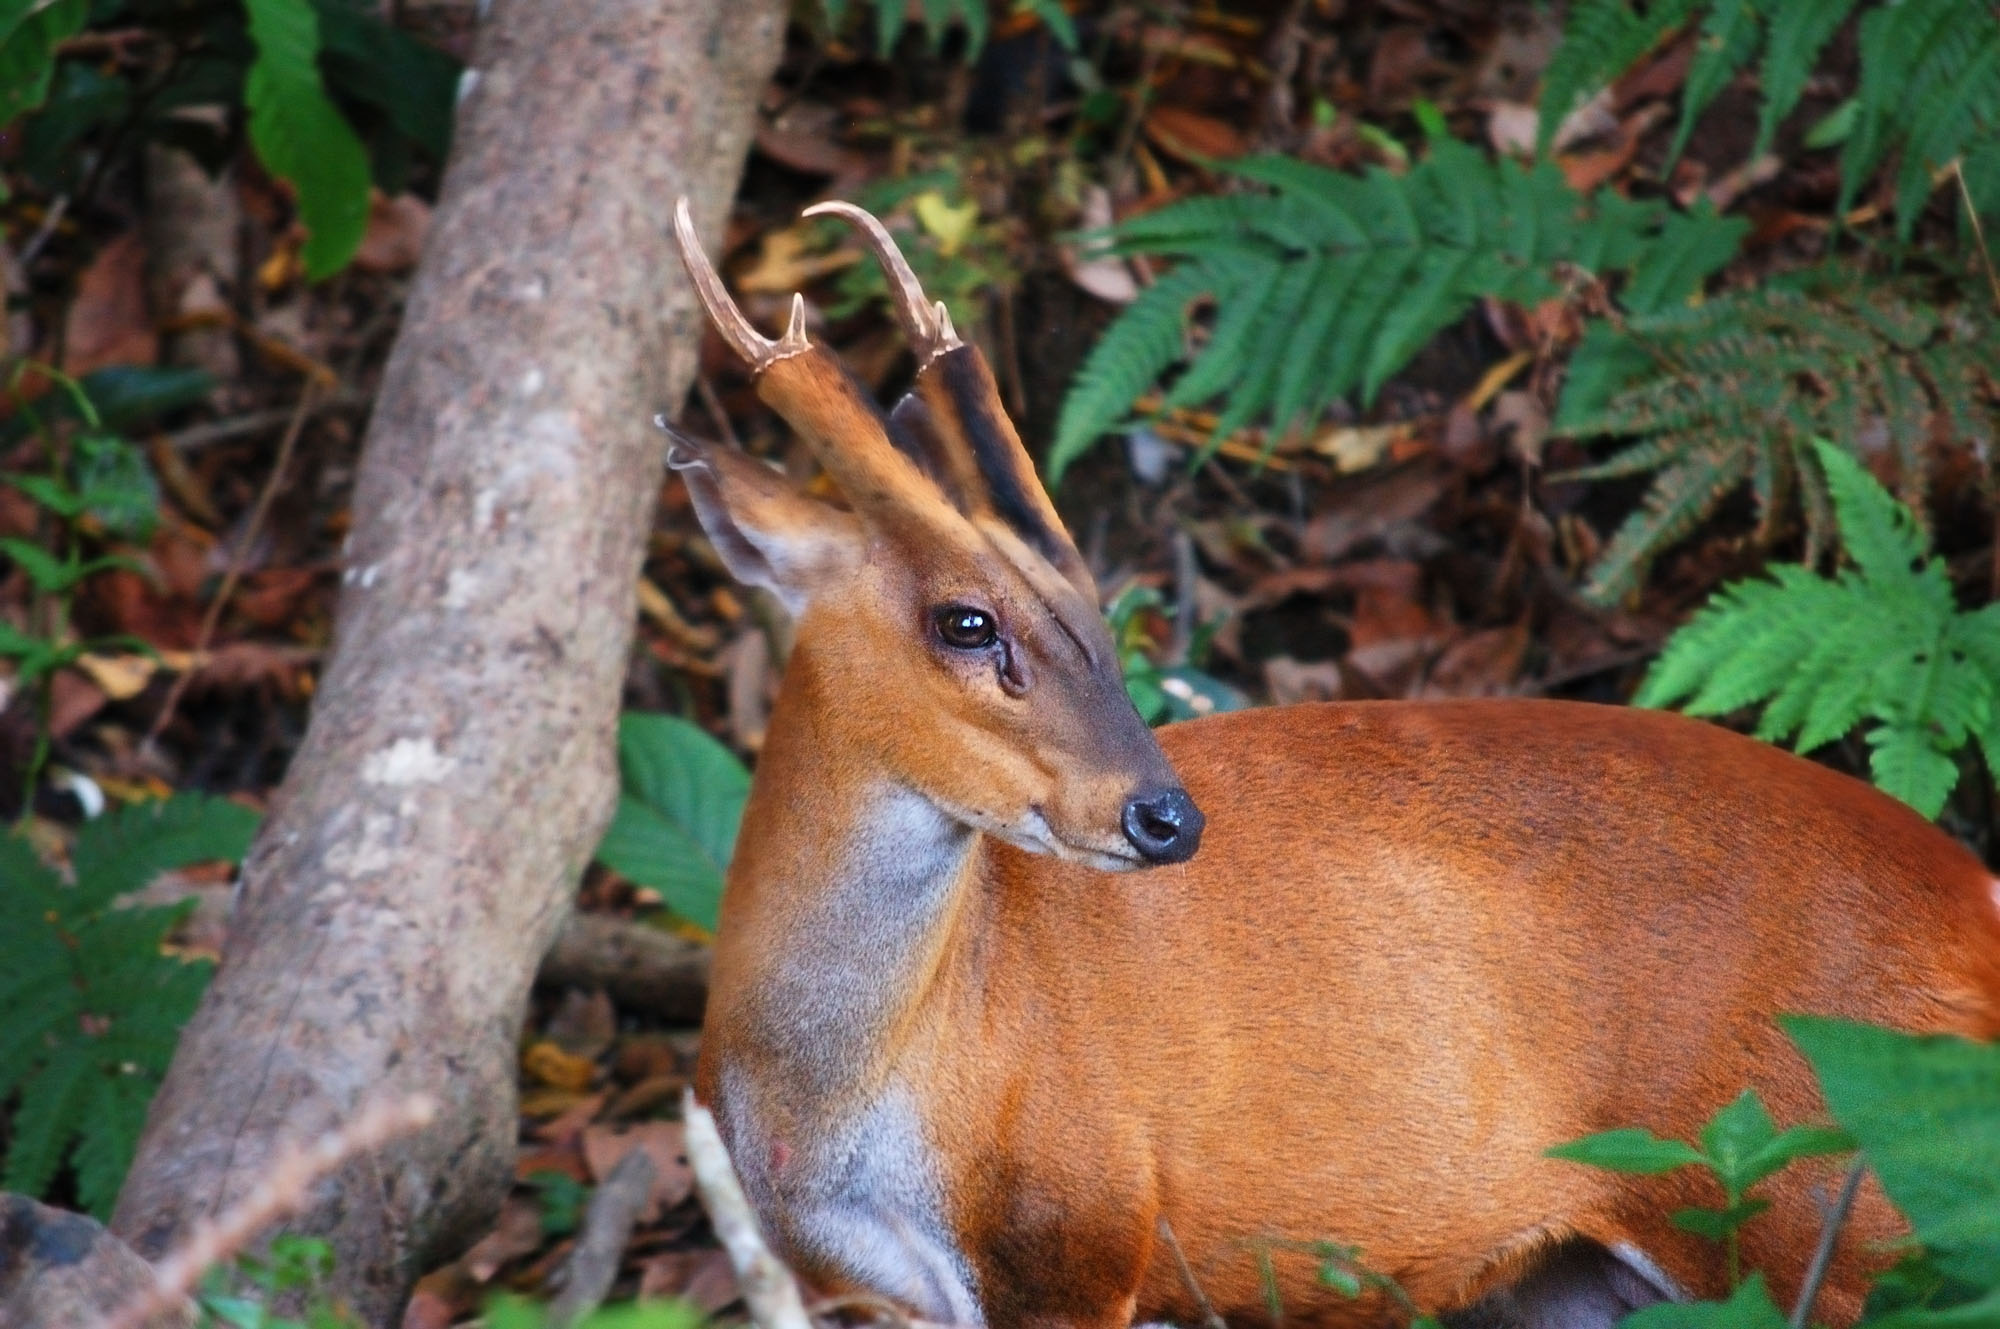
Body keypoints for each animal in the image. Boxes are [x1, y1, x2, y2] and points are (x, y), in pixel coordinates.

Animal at [664, 197, 2000, 1329]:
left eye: (1092, 604)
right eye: (963, 619)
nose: (1164, 817)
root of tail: (1974, 902)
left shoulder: (1080, 1234)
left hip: (1826, 1197)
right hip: (1577, 1270)